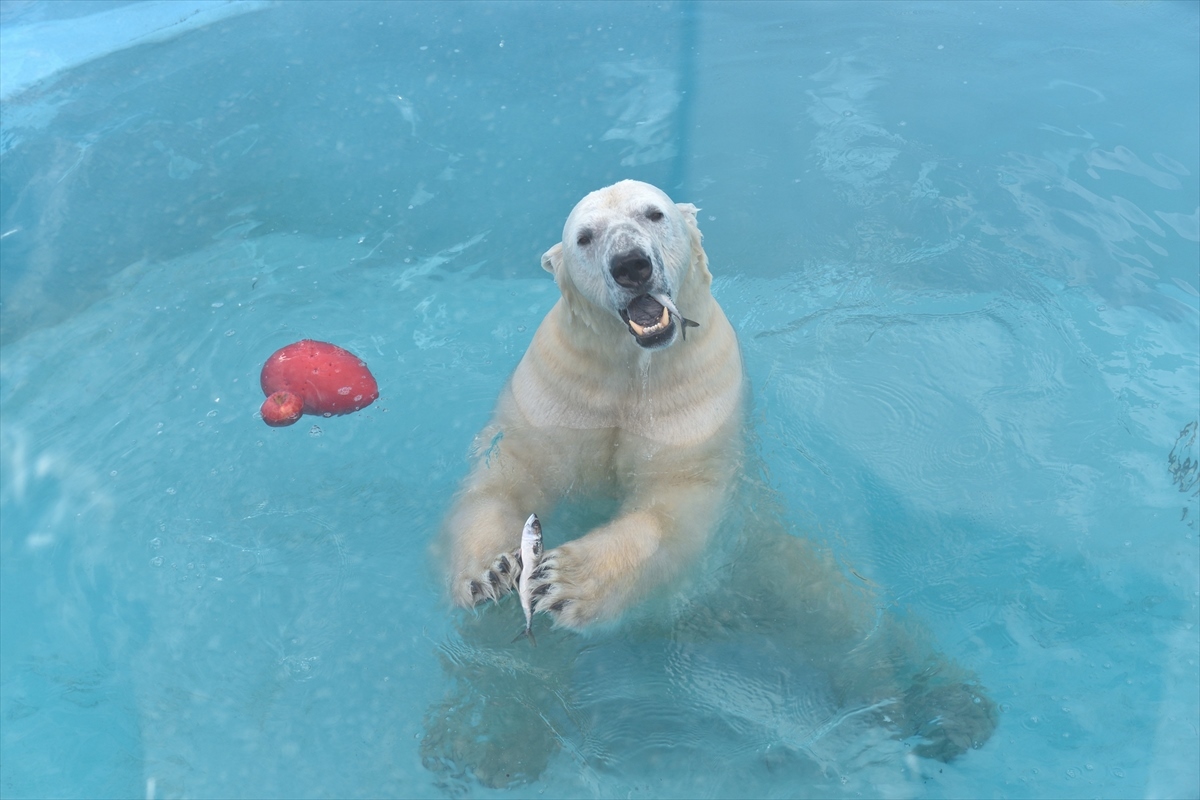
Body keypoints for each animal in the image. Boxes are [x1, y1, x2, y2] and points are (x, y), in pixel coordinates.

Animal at [427, 181, 998, 786]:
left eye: (653, 214)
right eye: (584, 236)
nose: (631, 265)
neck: (631, 368)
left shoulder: (692, 403)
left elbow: (675, 504)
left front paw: (567, 580)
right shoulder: (558, 396)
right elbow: (510, 474)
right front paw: (490, 570)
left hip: (770, 564)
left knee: (855, 619)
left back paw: (952, 707)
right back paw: (483, 740)